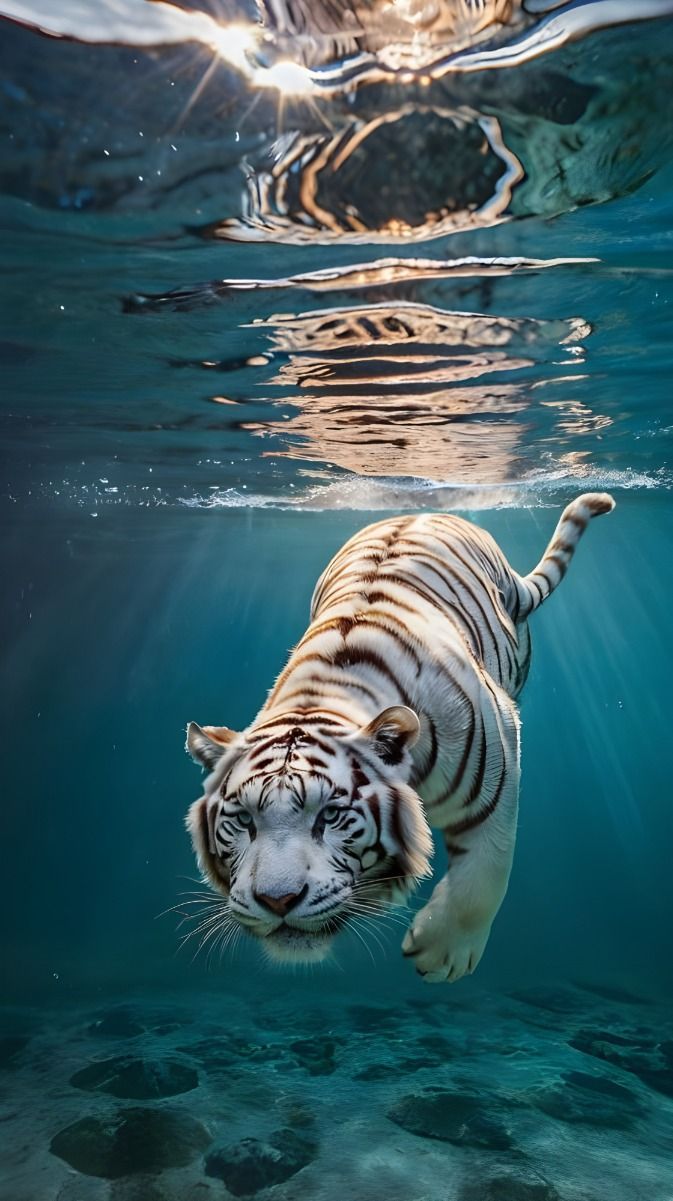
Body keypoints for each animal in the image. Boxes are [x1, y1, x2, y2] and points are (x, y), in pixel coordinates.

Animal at [186, 492, 614, 982]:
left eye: (330, 815)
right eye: (243, 820)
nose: (278, 901)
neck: (318, 696)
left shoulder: (499, 756)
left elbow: (489, 865)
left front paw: (444, 954)